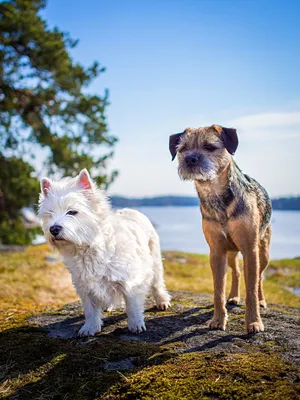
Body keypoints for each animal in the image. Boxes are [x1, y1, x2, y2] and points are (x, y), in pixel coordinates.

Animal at [38, 167, 171, 336]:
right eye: (49, 214)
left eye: (72, 212)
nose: (54, 229)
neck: (87, 249)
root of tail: (131, 210)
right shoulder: (84, 285)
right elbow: (90, 310)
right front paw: (89, 328)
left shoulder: (130, 280)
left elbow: (133, 305)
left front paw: (135, 325)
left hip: (154, 260)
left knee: (157, 283)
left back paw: (162, 301)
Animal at [171, 126, 272, 332]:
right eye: (183, 149)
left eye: (210, 147)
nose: (190, 159)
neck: (215, 195)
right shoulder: (217, 251)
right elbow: (218, 289)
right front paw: (218, 319)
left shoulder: (250, 250)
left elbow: (251, 288)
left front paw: (254, 322)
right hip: (232, 253)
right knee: (237, 272)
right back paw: (233, 296)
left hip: (263, 252)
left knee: (259, 277)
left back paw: (261, 300)